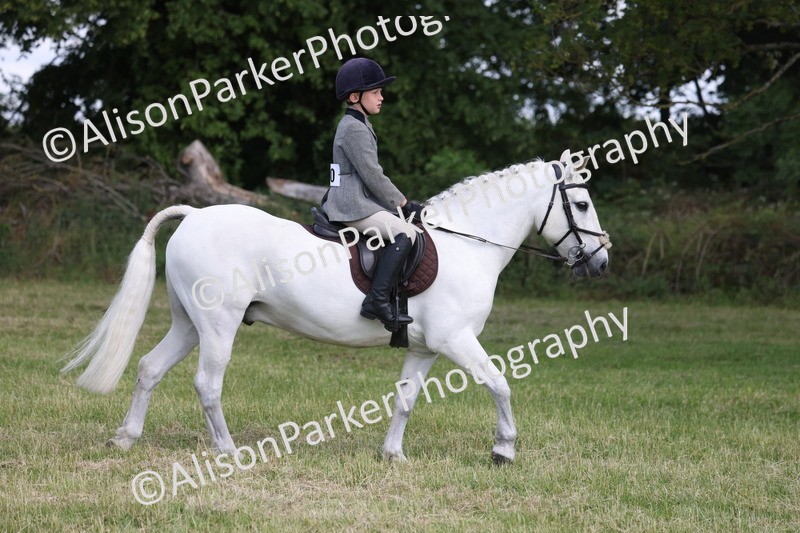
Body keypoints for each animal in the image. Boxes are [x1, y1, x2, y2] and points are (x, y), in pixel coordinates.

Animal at [62, 150, 611, 464]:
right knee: (207, 384)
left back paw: (126, 439)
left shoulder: (427, 348)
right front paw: (503, 449)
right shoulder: (457, 340)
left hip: (188, 324)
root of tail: (195, 214)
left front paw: (393, 455)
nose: (600, 262)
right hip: (217, 326)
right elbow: (499, 383)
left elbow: (406, 398)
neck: (467, 244)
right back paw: (228, 451)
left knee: (150, 368)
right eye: (582, 205)